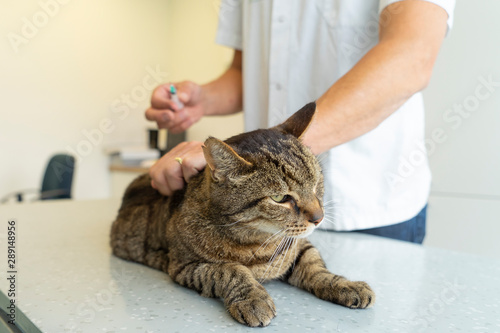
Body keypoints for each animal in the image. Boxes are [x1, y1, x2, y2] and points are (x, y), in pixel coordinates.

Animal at [110, 102, 376, 326]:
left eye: (316, 183)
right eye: (279, 198)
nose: (318, 218)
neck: (256, 242)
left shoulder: (299, 246)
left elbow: (316, 267)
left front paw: (346, 285)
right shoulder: (184, 266)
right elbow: (230, 270)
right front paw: (253, 299)